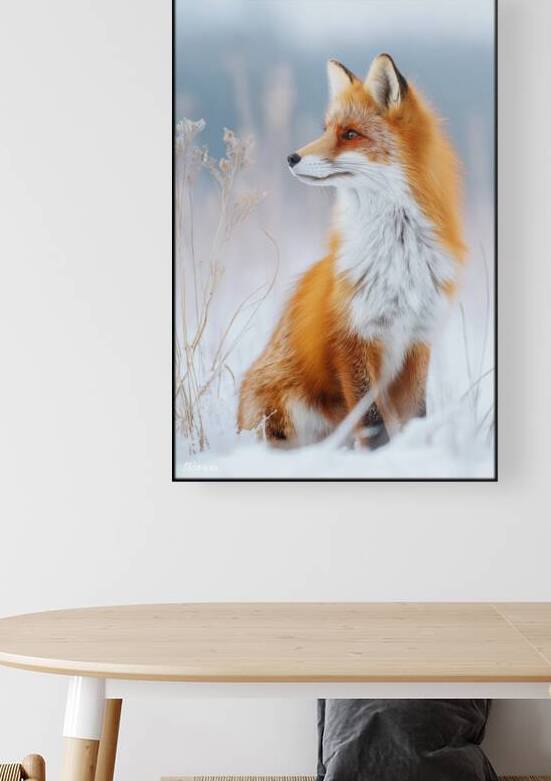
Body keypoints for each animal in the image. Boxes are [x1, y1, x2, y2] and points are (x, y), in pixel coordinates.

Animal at [238, 53, 466, 449]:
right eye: (327, 129)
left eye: (349, 134)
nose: (291, 157)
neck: (398, 257)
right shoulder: (351, 338)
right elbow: (372, 423)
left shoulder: (417, 339)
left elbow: (415, 416)